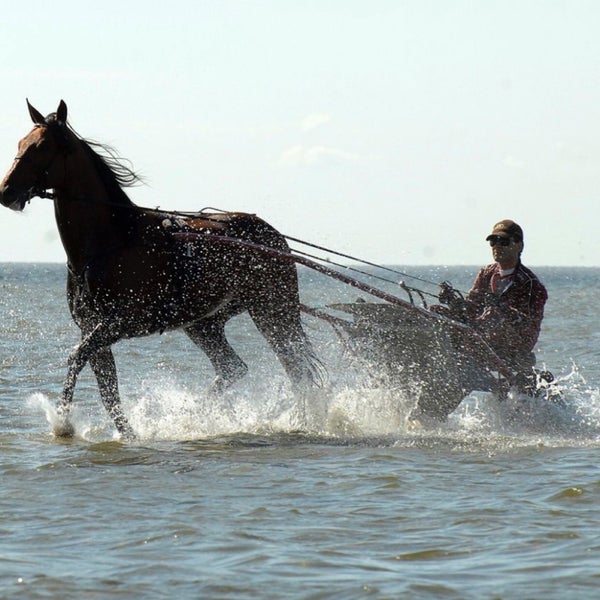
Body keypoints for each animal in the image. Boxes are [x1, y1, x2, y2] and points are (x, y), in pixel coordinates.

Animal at [0, 101, 324, 438]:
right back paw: (196, 413)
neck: (113, 239)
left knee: (296, 370)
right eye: (20, 143)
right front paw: (127, 432)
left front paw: (63, 422)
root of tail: (272, 234)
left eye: (41, 147)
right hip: (204, 322)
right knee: (232, 367)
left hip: (272, 311)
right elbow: (106, 387)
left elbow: (76, 356)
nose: (6, 191)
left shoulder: (121, 322)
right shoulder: (92, 327)